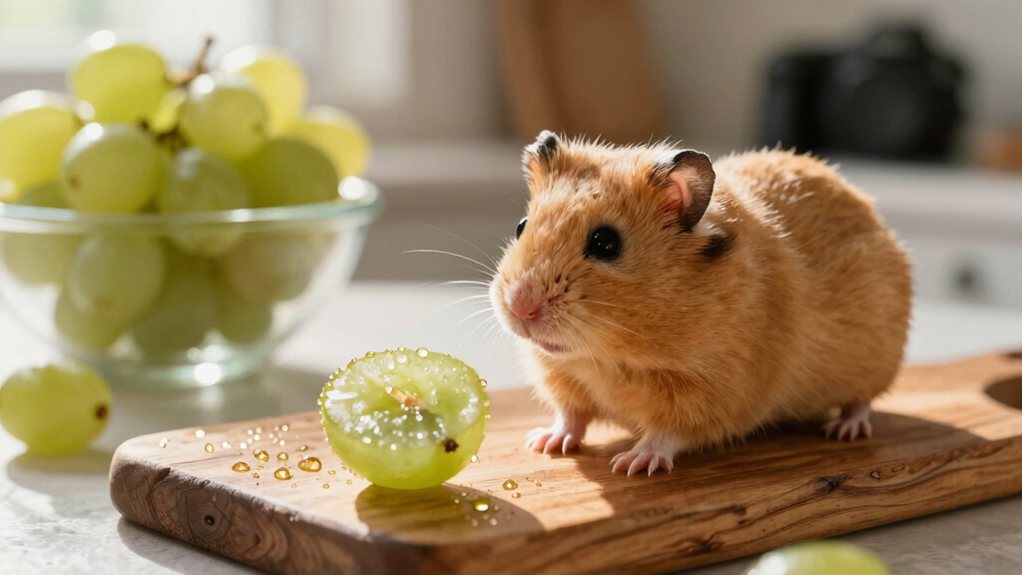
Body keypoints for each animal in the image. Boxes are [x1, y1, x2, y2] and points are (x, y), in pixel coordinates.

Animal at [489, 131, 912, 476]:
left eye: (605, 243)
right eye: (521, 225)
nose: (521, 308)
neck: (608, 359)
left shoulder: (709, 395)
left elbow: (667, 433)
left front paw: (631, 464)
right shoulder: (562, 377)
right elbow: (570, 415)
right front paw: (544, 443)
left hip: (875, 365)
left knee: (861, 401)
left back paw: (844, 429)